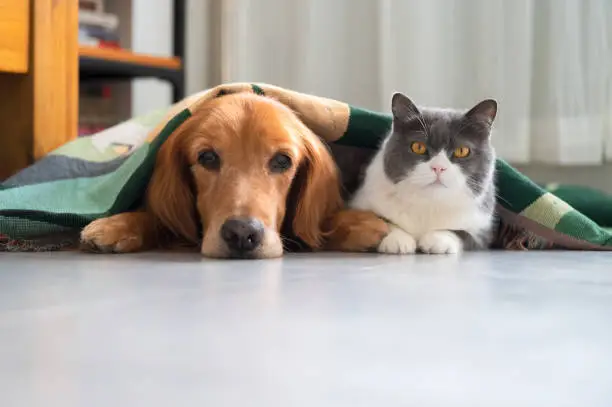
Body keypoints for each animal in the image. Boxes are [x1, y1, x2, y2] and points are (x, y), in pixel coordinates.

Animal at [80, 93, 388, 258]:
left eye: (282, 160)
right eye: (207, 157)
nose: (242, 234)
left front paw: (360, 224)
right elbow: (158, 218)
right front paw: (117, 225)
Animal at [352, 93, 500, 253]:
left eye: (462, 151)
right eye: (418, 147)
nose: (438, 167)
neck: (429, 204)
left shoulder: (483, 230)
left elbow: (463, 233)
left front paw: (438, 239)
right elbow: (378, 219)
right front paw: (397, 238)